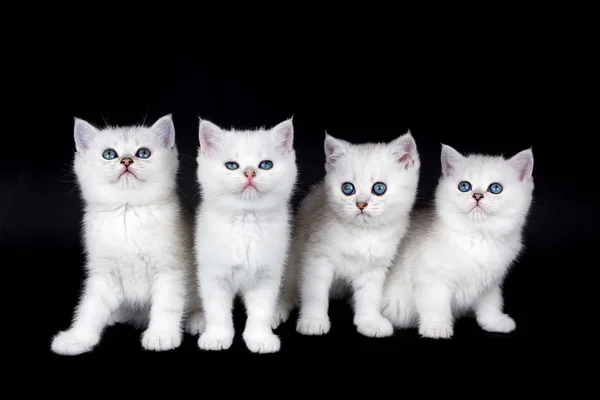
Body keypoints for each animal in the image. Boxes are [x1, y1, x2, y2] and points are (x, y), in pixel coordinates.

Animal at [52, 114, 202, 354]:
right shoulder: (104, 274)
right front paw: (76, 338)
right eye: (109, 154)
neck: (127, 213)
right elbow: (90, 308)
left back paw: (198, 319)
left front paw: (161, 336)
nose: (126, 161)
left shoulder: (169, 269)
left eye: (143, 153)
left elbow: (166, 305)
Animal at [193, 118, 296, 354]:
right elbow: (217, 310)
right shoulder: (213, 275)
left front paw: (260, 338)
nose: (249, 173)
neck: (246, 222)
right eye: (232, 165)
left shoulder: (267, 275)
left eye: (265, 165)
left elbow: (261, 311)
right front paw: (216, 337)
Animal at [274, 132, 420, 338]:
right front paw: (313, 321)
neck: (362, 234)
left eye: (379, 188)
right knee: (286, 290)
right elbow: (314, 294)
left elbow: (369, 297)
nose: (361, 204)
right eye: (348, 188)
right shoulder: (317, 258)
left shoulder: (374, 268)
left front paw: (370, 322)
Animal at [382, 144, 532, 338]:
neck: (476, 238)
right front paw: (437, 327)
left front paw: (494, 322)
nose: (477, 195)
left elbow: (491, 304)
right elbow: (436, 305)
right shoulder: (431, 279)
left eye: (495, 188)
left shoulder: (490, 283)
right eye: (464, 186)